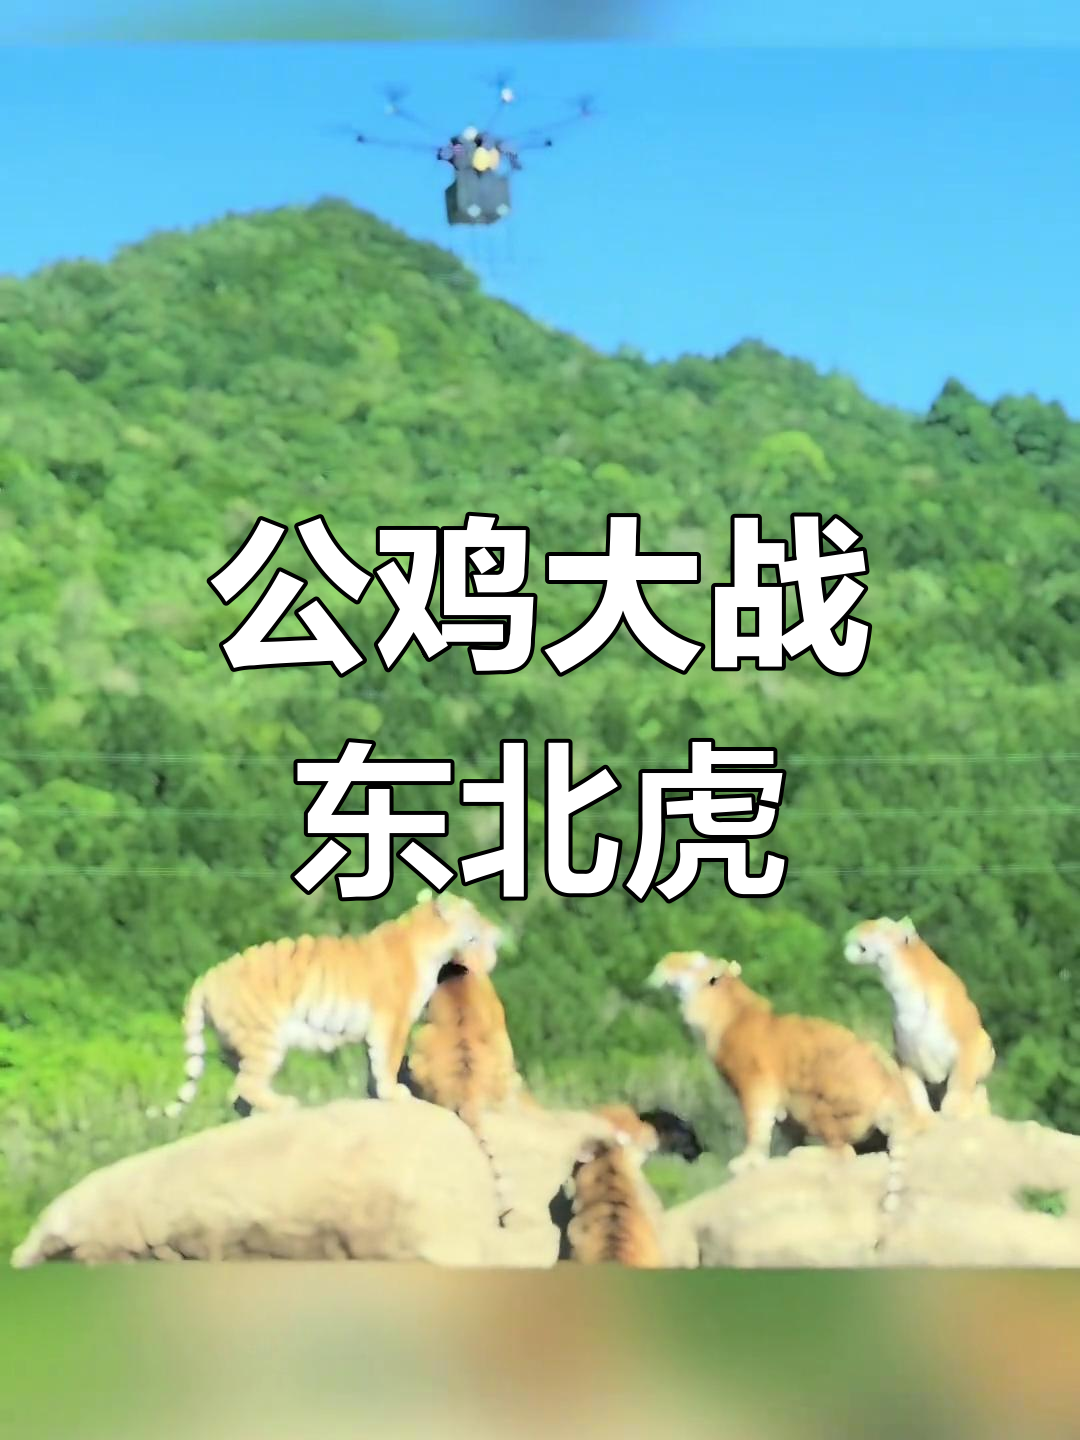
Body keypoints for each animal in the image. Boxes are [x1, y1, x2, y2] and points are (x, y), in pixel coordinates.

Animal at [148, 891, 502, 1120]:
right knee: (246, 1084)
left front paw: (376, 1094)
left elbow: (373, 1064)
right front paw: (394, 1093)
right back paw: (286, 1105)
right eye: (475, 915)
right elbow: (387, 1062)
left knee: (238, 1092)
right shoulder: (393, 1020)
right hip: (265, 1040)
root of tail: (207, 976)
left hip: (235, 1048)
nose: (495, 930)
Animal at [648, 950, 932, 1215]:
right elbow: (783, 1132)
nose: (663, 961)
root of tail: (893, 1092)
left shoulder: (755, 1086)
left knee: (842, 1152)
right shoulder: (785, 1110)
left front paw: (746, 1162)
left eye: (691, 962)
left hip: (818, 1106)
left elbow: (756, 1126)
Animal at [844, 915, 996, 1120]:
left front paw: (954, 1112)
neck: (904, 991)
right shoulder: (906, 1057)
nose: (854, 928)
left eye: (883, 926)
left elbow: (960, 1082)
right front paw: (922, 1116)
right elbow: (914, 1090)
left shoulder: (969, 1045)